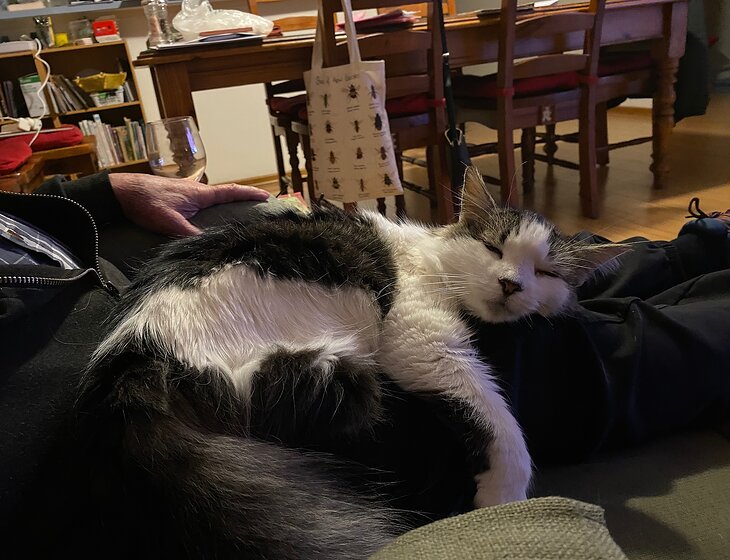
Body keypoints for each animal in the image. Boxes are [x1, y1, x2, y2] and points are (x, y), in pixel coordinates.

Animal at [74, 167, 622, 559]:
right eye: (493, 248)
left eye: (546, 272)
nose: (511, 284)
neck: (435, 256)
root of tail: (133, 361)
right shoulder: (421, 339)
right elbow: (499, 424)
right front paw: (503, 498)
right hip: (345, 372)